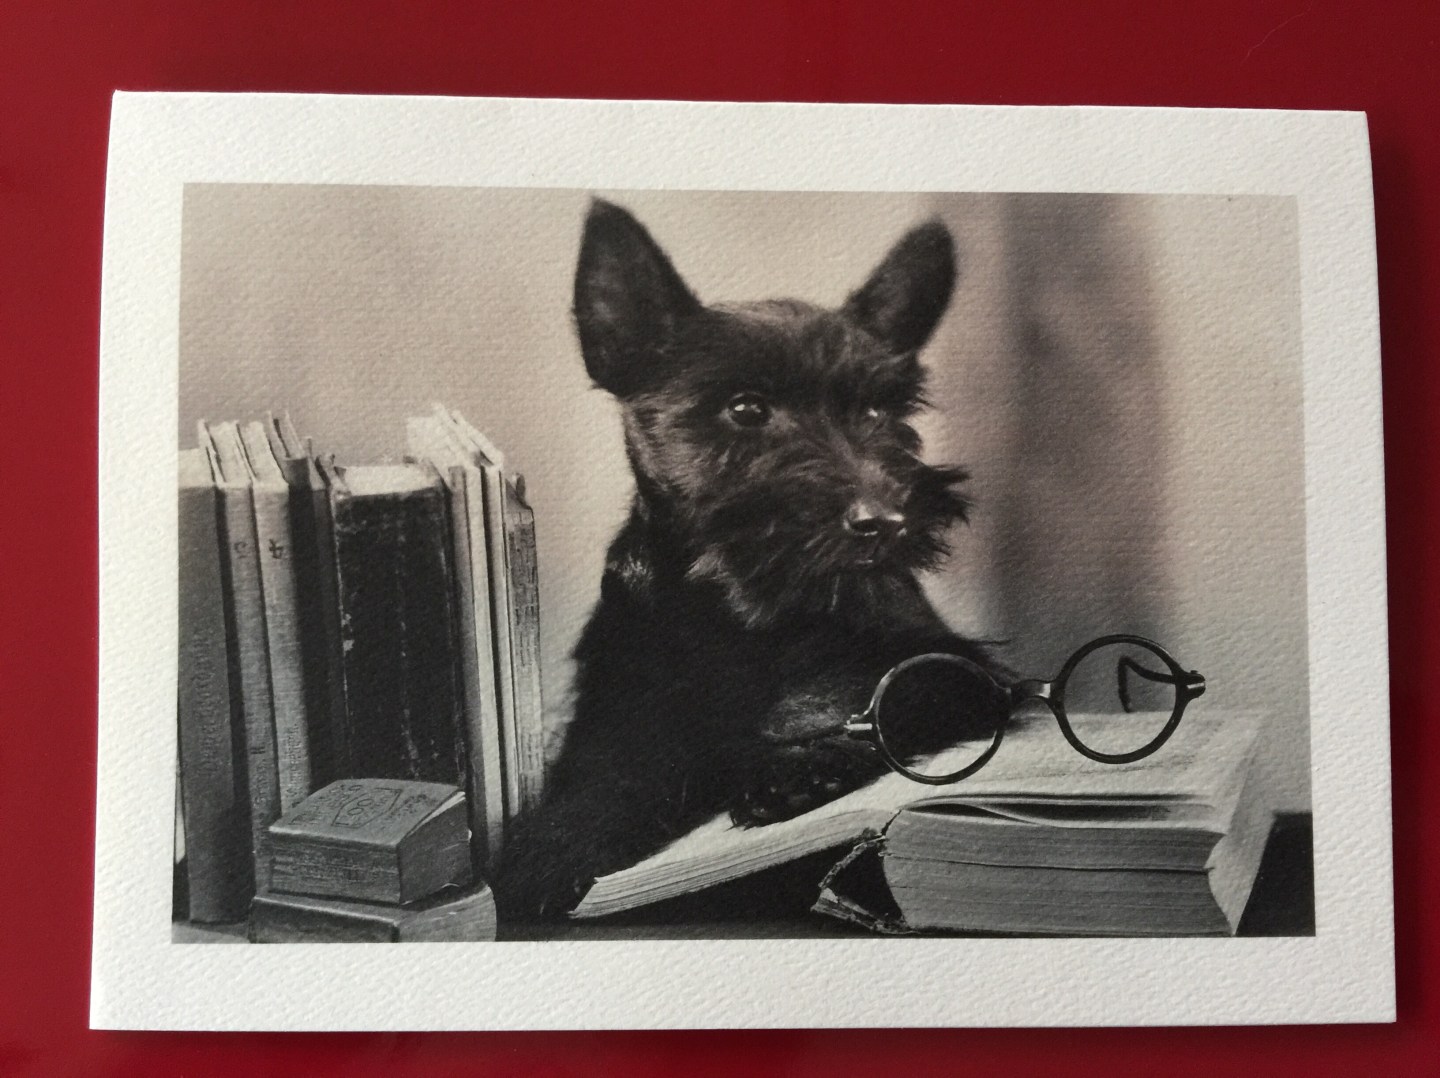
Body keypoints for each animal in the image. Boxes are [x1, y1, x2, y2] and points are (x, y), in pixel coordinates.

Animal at [493, 200, 999, 918]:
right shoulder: (616, 708)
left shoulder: (953, 666)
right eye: (745, 408)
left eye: (880, 410)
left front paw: (801, 765)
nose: (886, 520)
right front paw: (550, 851)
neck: (748, 612)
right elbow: (610, 771)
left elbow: (872, 700)